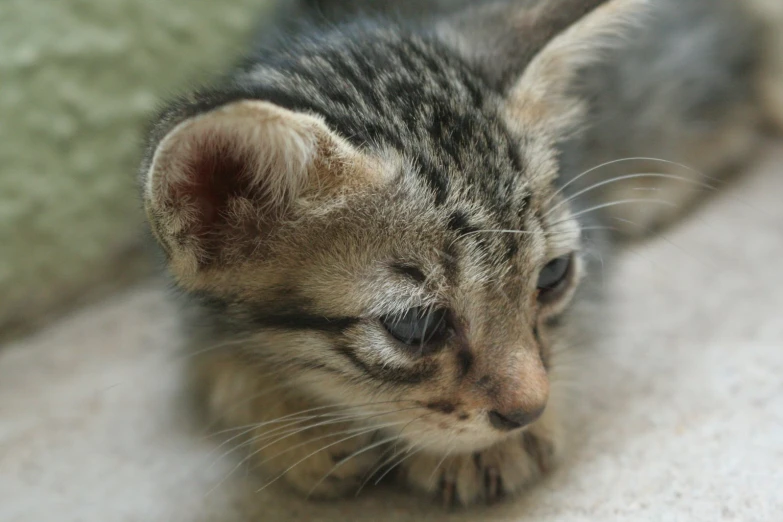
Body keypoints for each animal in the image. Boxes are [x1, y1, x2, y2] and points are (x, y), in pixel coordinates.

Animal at [138, 0, 764, 506]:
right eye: (415, 327)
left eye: (553, 276)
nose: (528, 409)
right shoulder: (181, 294)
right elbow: (208, 355)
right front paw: (289, 419)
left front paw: (481, 450)